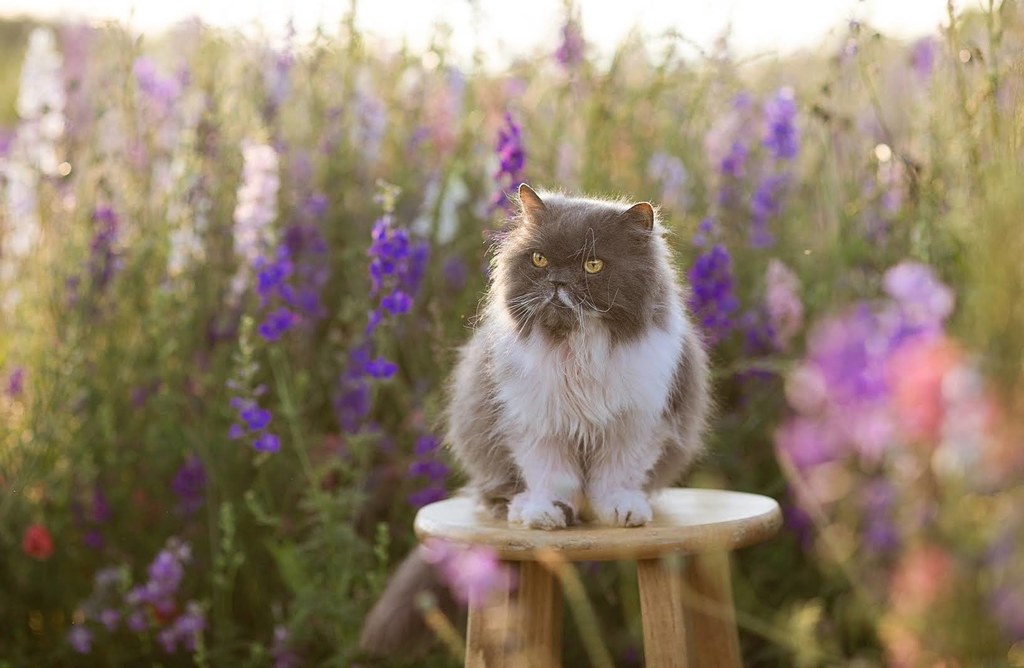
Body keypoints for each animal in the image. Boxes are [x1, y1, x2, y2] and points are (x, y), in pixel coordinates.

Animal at [362, 185, 712, 655]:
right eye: (540, 260)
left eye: (592, 264)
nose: (558, 281)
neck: (575, 349)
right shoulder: (534, 425)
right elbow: (550, 476)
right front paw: (547, 514)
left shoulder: (636, 424)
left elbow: (615, 476)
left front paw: (619, 510)